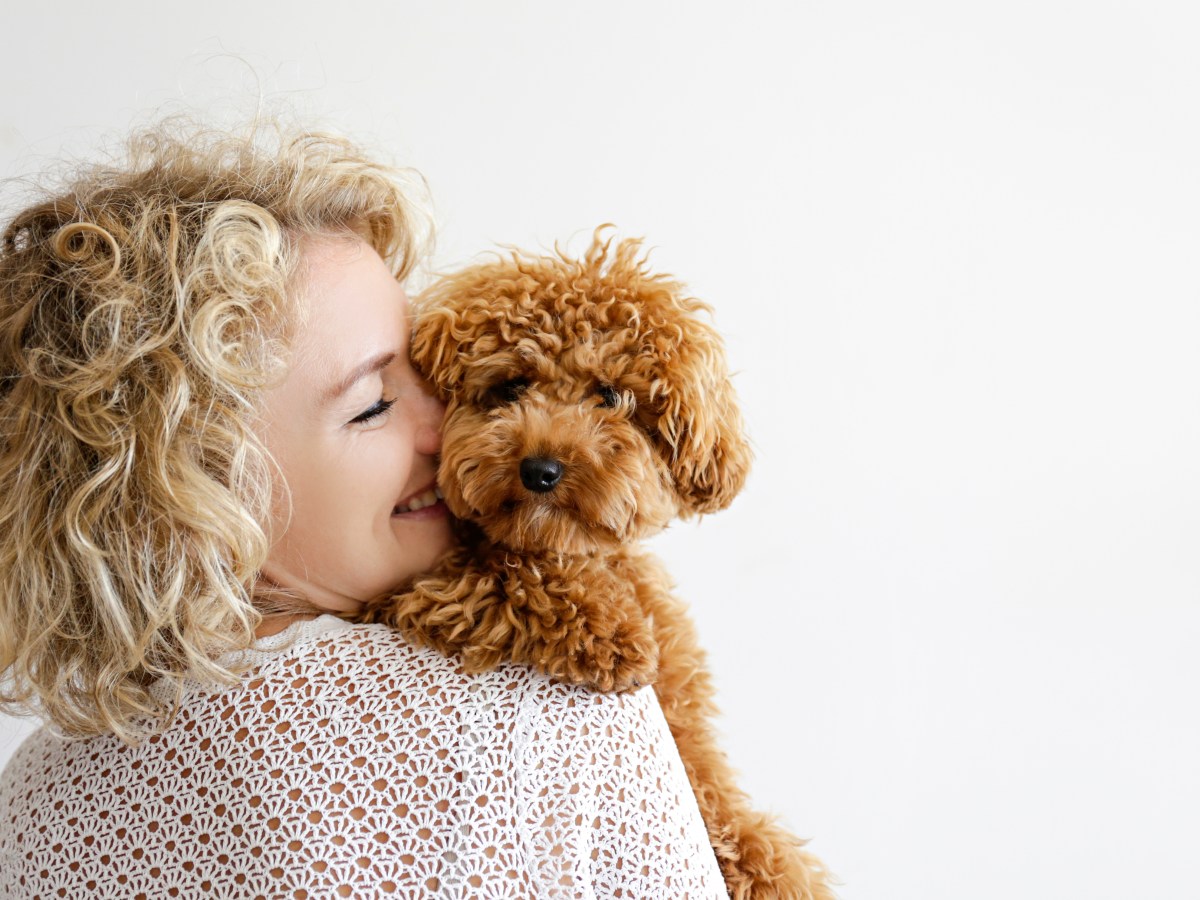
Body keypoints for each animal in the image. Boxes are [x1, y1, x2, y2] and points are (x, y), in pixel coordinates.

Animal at [360, 229, 840, 897]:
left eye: (610, 396)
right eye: (512, 387)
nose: (540, 469)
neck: (574, 551)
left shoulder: (686, 724)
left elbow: (727, 810)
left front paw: (769, 869)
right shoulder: (408, 593)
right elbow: (509, 576)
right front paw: (613, 633)